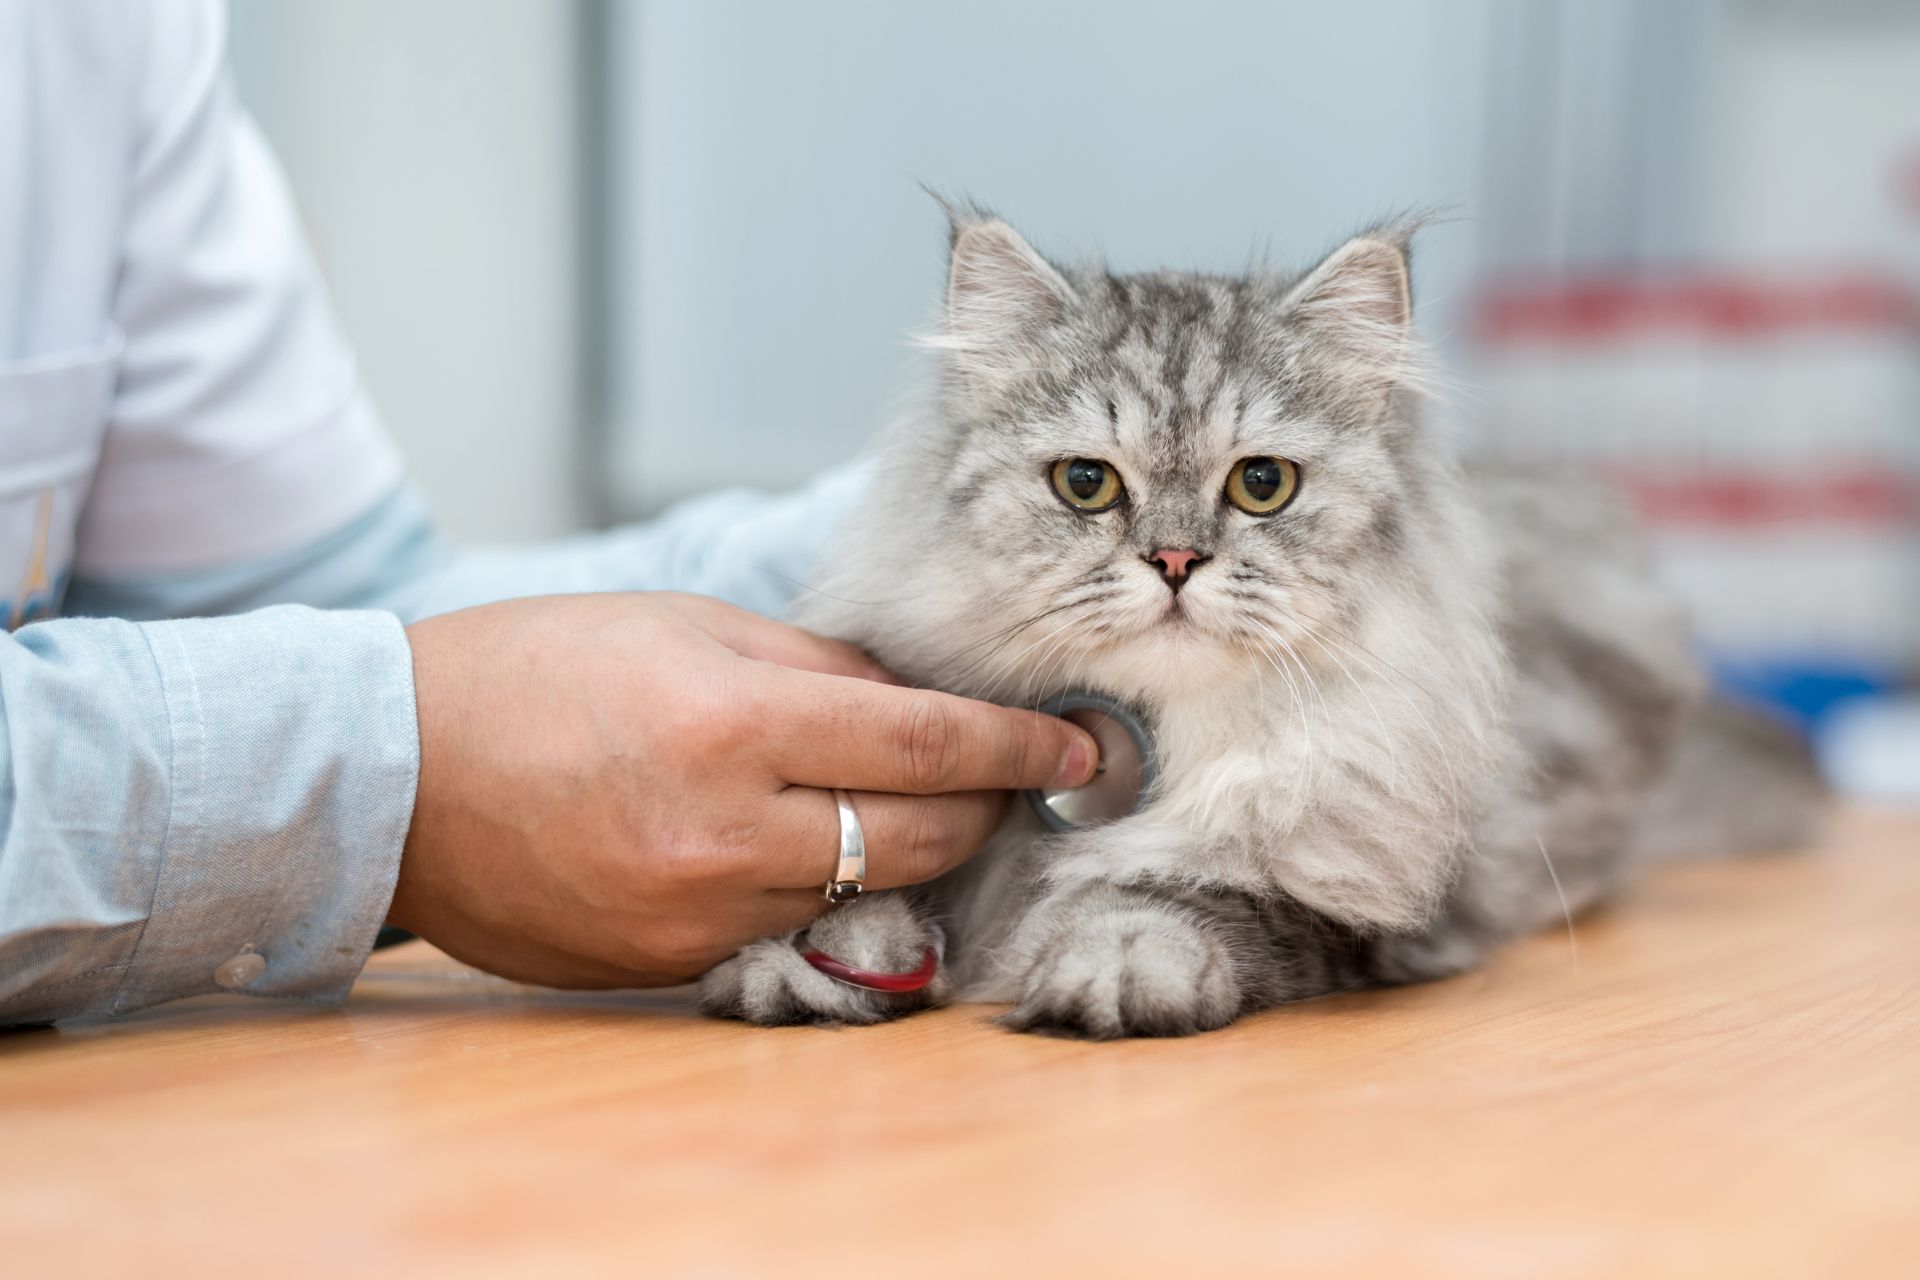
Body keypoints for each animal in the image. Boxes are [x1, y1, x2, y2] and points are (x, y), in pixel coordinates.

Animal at [698, 205, 1820, 1036]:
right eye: (1085, 484)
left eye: (1262, 484)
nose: (1175, 560)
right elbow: (873, 896)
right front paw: (808, 961)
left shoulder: (1364, 896)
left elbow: (1175, 894)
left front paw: (1114, 961)